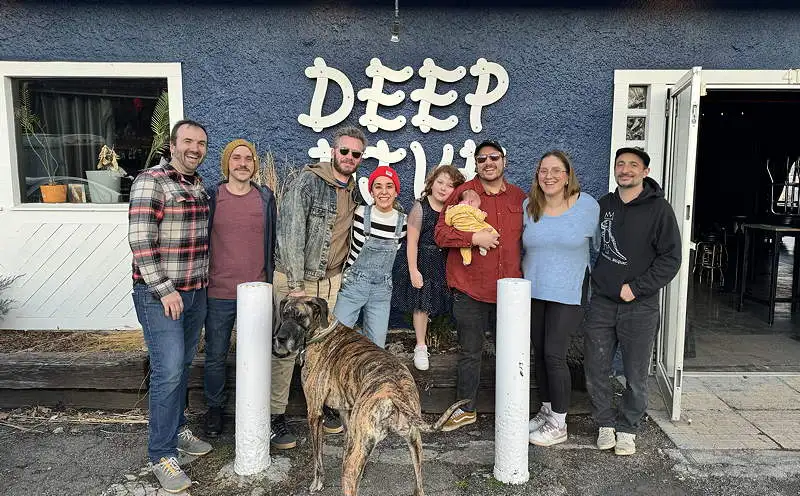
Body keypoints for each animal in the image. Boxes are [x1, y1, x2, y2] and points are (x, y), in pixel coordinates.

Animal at [272, 296, 466, 496]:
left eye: (300, 317)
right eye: (284, 314)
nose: (280, 339)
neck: (322, 330)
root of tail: (395, 392)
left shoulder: (314, 413)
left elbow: (317, 456)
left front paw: (317, 482)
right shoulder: (346, 412)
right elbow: (345, 441)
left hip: (354, 462)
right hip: (414, 442)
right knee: (419, 487)